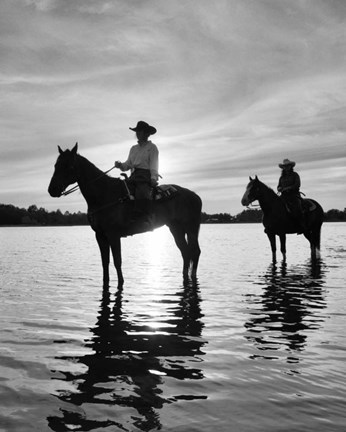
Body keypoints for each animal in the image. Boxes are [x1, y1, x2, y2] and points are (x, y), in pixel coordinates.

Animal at [47, 143, 201, 288]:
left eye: (68, 165)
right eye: (55, 165)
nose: (52, 190)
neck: (104, 193)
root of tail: (194, 195)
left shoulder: (113, 235)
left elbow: (117, 262)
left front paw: (121, 283)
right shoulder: (100, 235)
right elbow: (105, 262)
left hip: (191, 228)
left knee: (195, 251)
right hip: (176, 228)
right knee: (185, 252)